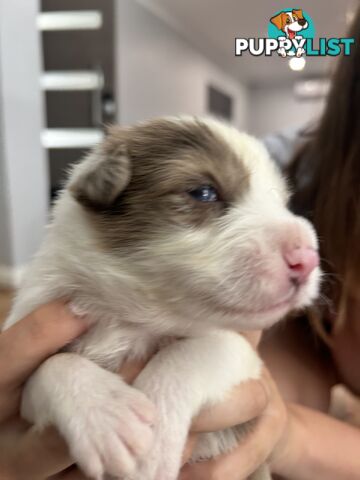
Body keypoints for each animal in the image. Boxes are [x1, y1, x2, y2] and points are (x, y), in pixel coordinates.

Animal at [2, 117, 318, 480]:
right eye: (204, 192)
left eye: (281, 201)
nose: (308, 258)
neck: (131, 316)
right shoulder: (24, 357)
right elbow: (50, 366)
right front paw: (107, 419)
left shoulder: (244, 357)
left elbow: (190, 352)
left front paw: (152, 445)